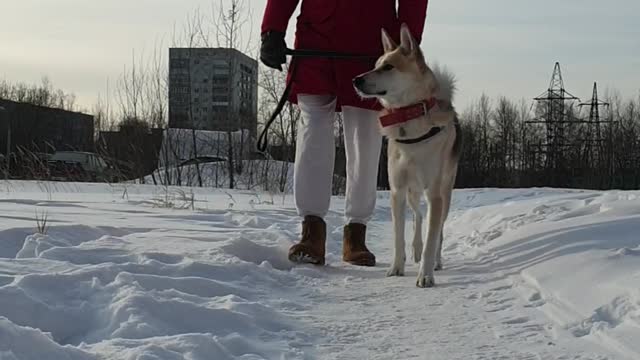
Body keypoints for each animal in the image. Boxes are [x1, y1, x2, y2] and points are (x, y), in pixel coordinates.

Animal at [352, 23, 462, 286]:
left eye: (388, 66)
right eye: (376, 64)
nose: (356, 80)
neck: (409, 116)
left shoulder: (434, 193)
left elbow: (433, 238)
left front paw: (426, 275)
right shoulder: (397, 190)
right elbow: (398, 235)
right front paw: (396, 267)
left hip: (445, 192)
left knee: (438, 229)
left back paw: (436, 261)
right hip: (413, 192)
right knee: (418, 217)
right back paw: (415, 248)